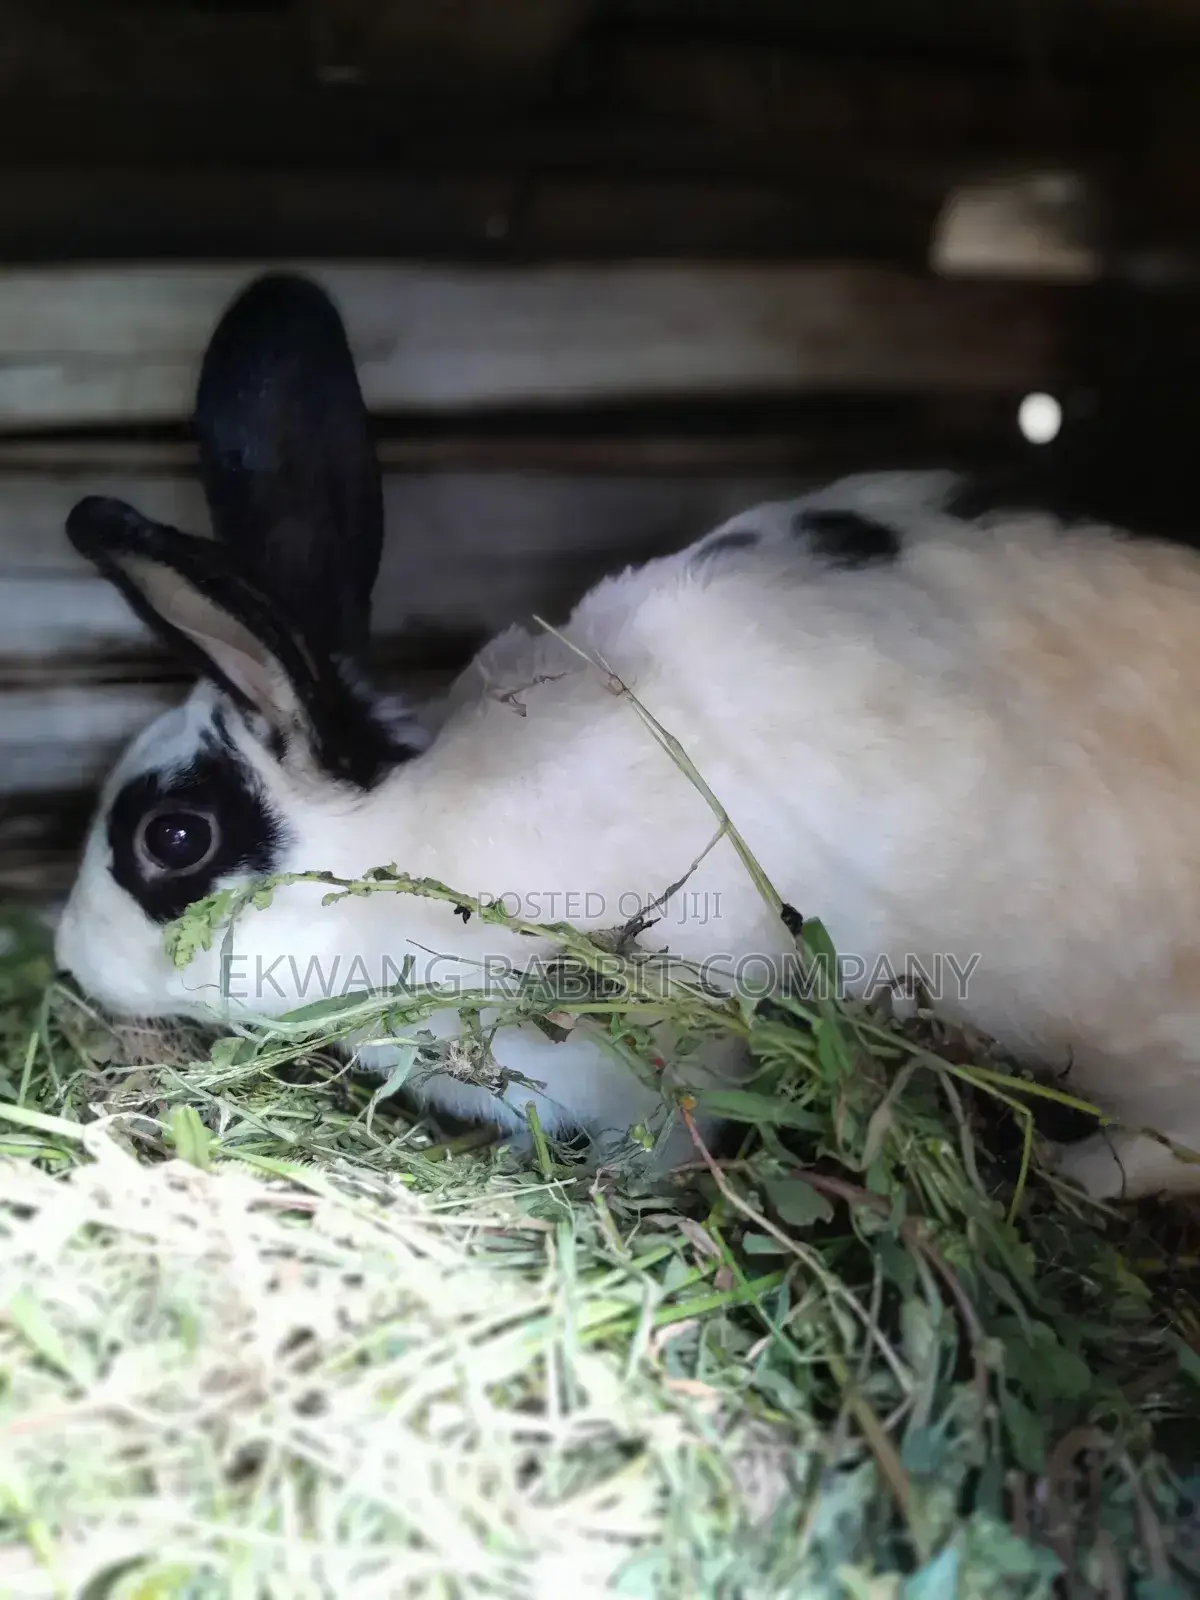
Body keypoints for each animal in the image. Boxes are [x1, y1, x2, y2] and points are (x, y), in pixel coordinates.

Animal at [51, 269, 1200, 1202]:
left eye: (173, 838)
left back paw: (1074, 1172)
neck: (418, 842)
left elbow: (678, 1126)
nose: (67, 960)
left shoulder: (684, 1043)